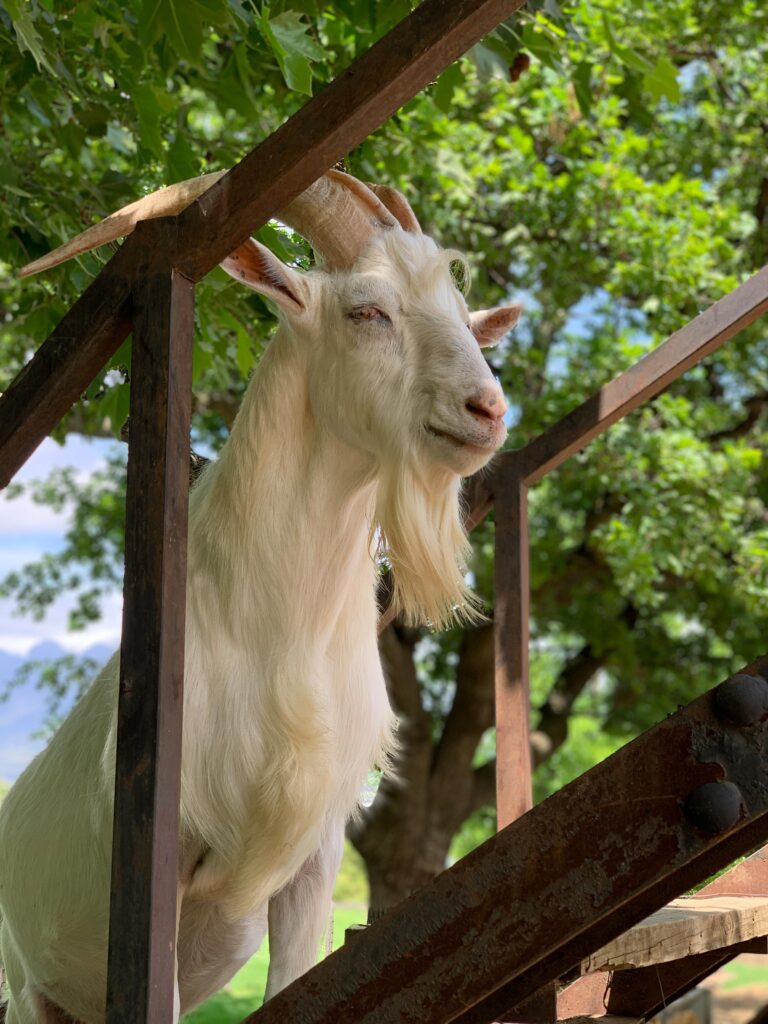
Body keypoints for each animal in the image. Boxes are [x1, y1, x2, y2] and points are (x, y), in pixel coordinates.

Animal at [0, 170, 521, 1024]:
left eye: (466, 318)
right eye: (367, 310)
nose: (487, 410)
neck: (281, 636)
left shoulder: (314, 859)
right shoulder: (170, 865)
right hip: (28, 985)